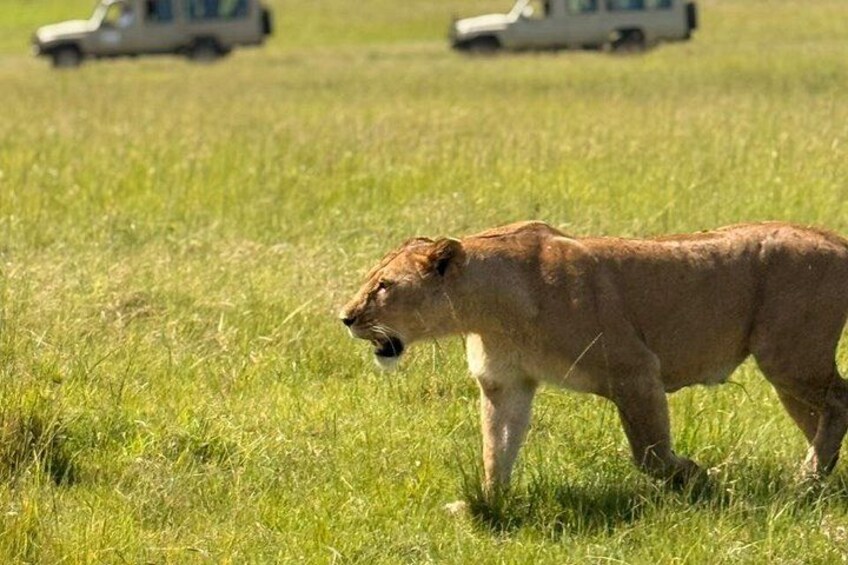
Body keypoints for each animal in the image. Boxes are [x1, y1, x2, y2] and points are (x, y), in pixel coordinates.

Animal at [340, 221, 848, 488]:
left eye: (384, 286)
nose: (345, 317)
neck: (490, 310)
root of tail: (835, 239)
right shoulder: (505, 384)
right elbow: (495, 449)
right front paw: (485, 505)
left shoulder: (636, 370)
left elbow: (650, 452)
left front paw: (695, 475)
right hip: (791, 371)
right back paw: (819, 479)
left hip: (789, 358)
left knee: (839, 400)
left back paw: (807, 478)